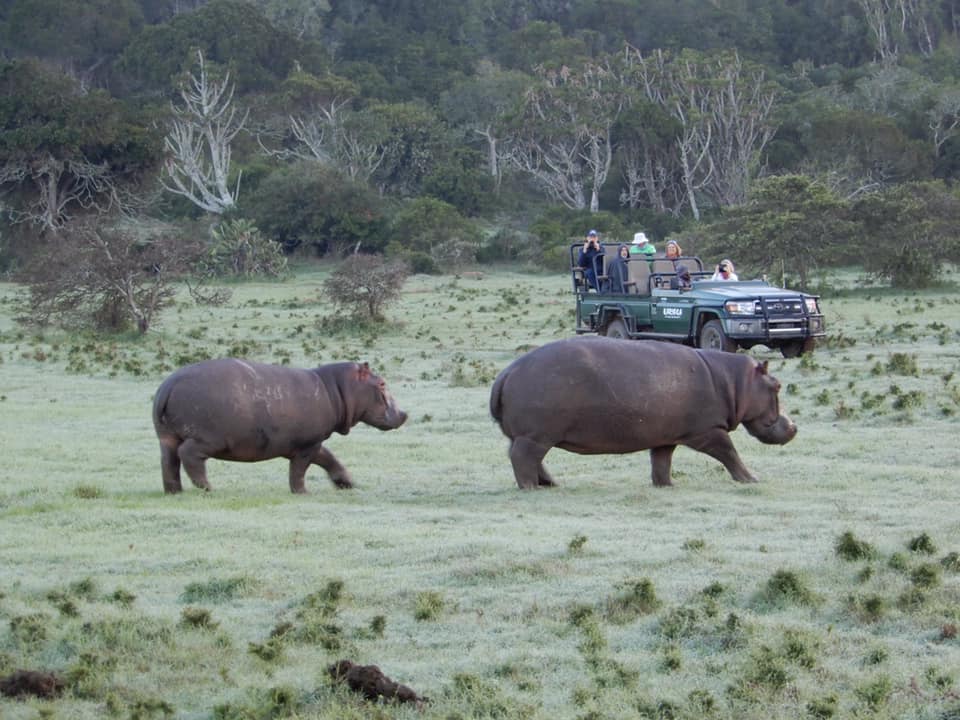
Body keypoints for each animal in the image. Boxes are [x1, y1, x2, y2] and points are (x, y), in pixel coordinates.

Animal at [153, 358, 404, 492]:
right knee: (189, 455)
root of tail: (168, 385)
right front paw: (302, 493)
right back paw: (208, 488)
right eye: (382, 383)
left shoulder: (313, 442)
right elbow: (300, 470)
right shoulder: (308, 444)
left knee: (169, 462)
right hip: (209, 439)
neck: (338, 388)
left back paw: (174, 491)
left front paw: (347, 483)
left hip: (167, 437)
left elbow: (329, 459)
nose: (404, 413)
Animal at [488, 338, 796, 490]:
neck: (735, 382)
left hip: (530, 435)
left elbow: (661, 461)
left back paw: (551, 484)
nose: (793, 427)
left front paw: (667, 485)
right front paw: (751, 479)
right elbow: (730, 453)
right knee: (523, 458)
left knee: (525, 457)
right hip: (536, 435)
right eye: (777, 385)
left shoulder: (666, 436)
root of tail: (506, 373)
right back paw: (531, 488)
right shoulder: (708, 431)